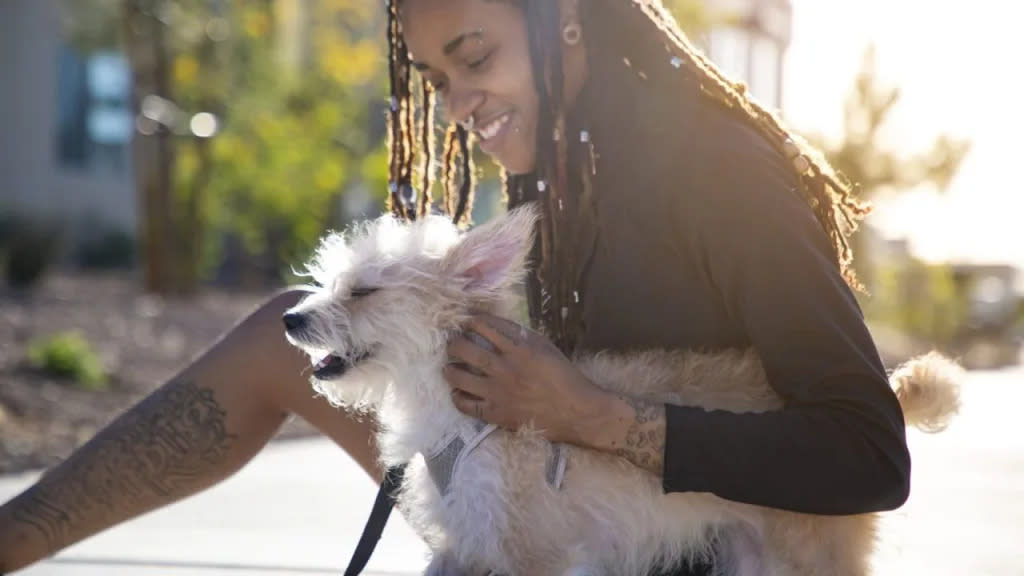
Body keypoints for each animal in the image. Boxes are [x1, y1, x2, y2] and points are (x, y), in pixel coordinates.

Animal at [282, 206, 958, 573]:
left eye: (364, 291)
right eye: (333, 283)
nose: (290, 319)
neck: (460, 416)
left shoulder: (536, 554)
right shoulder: (466, 545)